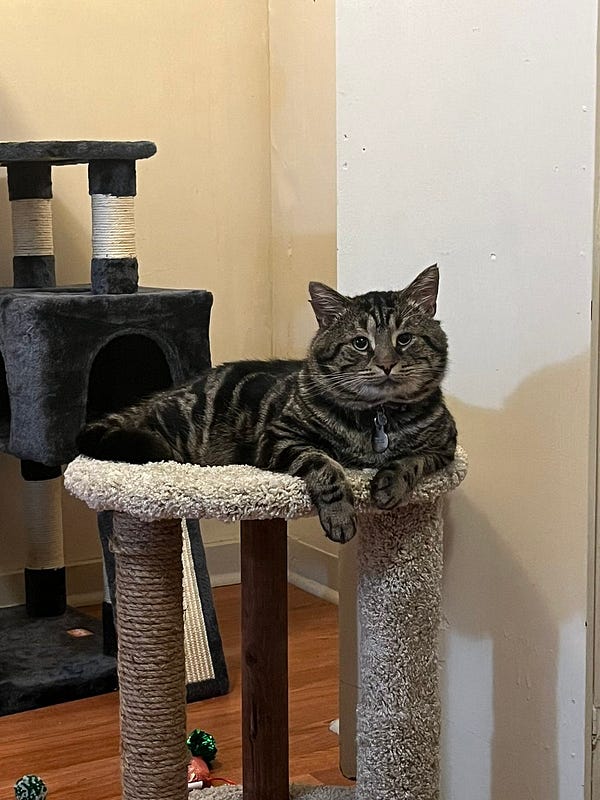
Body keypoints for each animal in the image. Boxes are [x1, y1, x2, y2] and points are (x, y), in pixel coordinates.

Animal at [77, 268, 458, 544]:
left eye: (404, 339)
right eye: (361, 343)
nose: (386, 364)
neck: (376, 418)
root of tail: (164, 394)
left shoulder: (447, 446)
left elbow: (413, 460)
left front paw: (390, 484)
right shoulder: (279, 437)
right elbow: (326, 467)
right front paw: (341, 515)